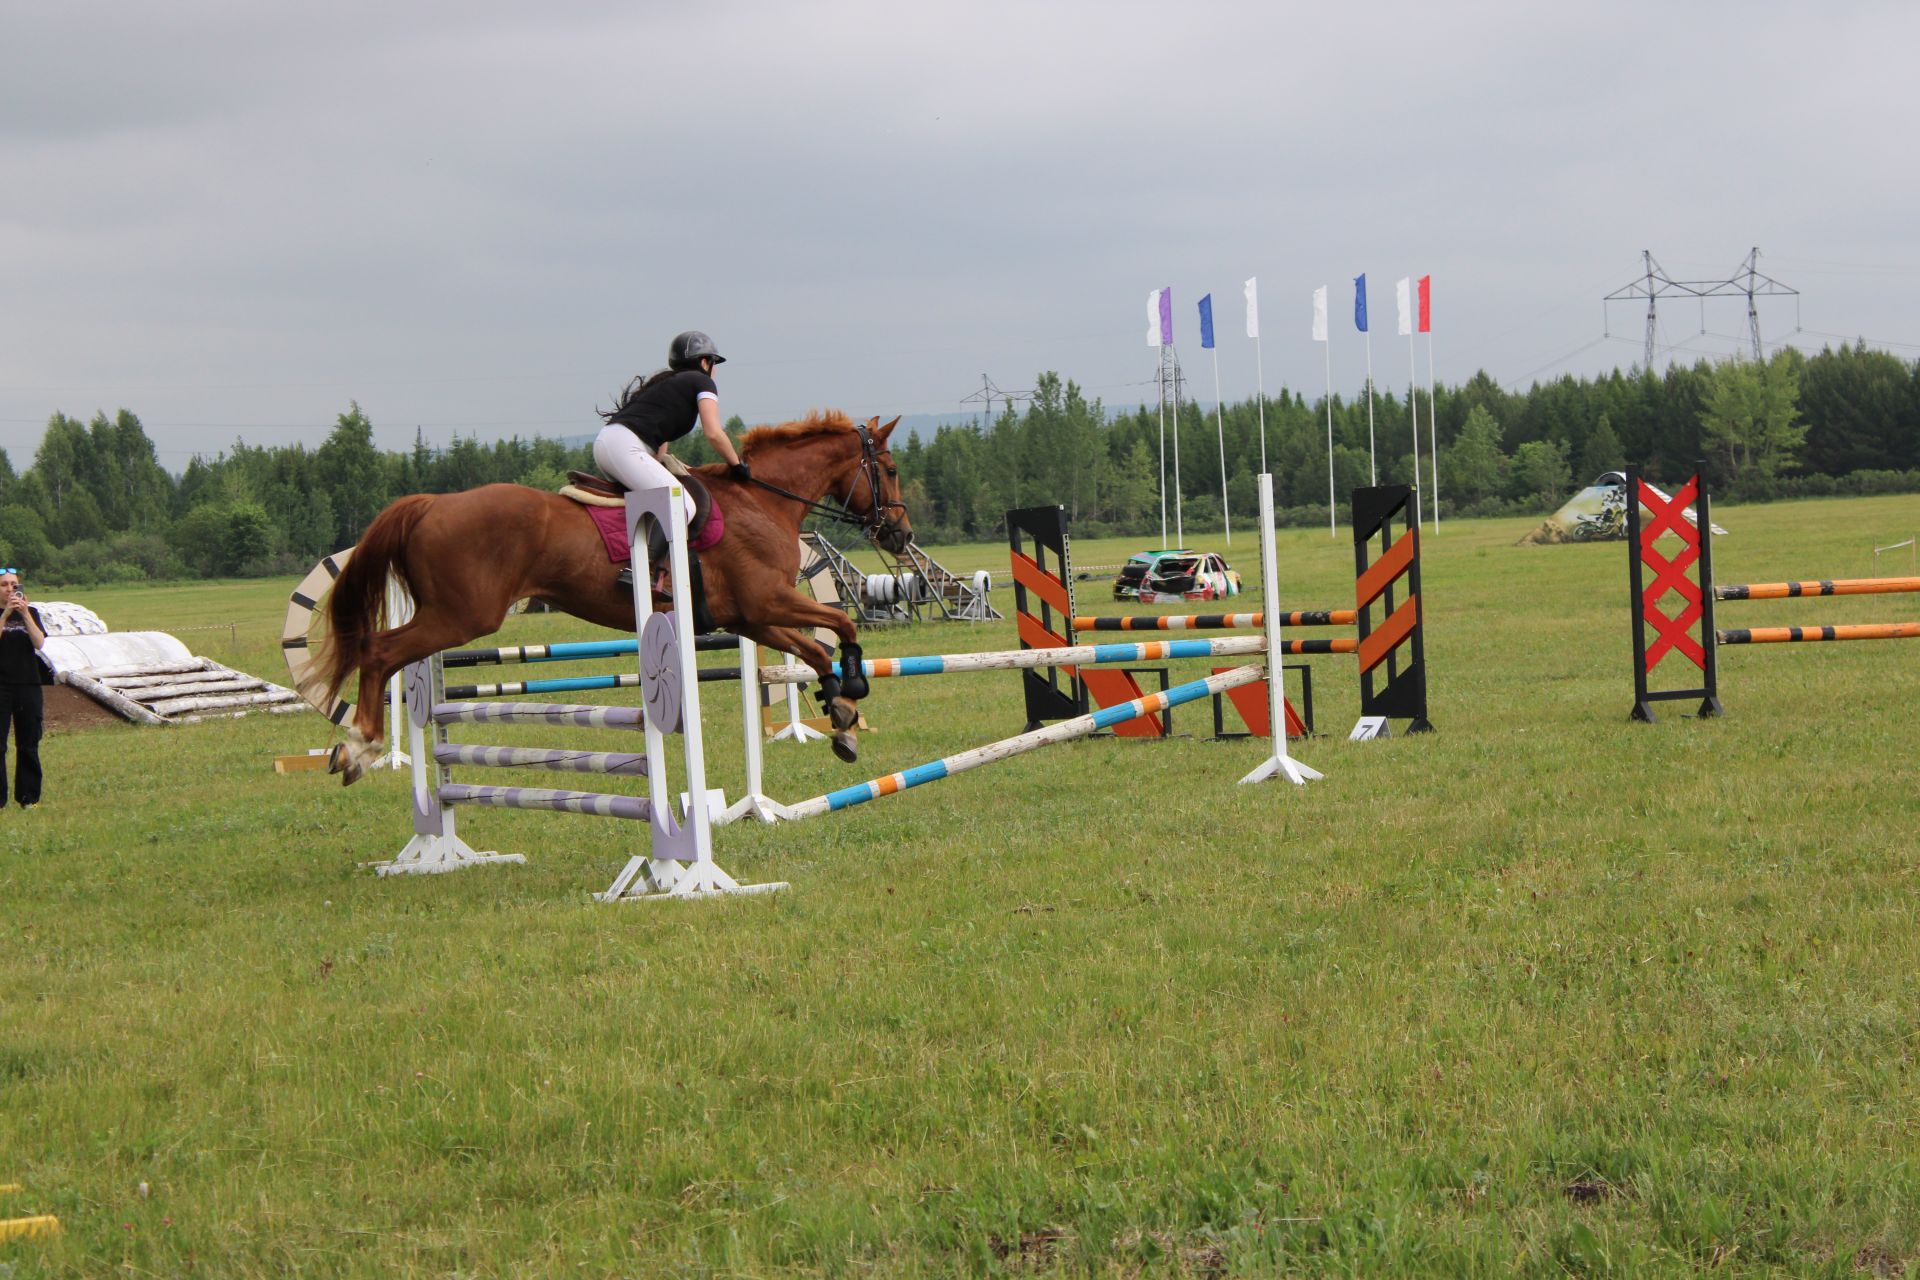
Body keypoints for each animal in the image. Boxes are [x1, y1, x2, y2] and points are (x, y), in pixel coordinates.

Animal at [311, 416, 910, 786]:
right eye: (890, 469)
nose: (900, 534)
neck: (762, 501)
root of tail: (430, 504)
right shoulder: (767, 603)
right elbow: (840, 626)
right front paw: (852, 693)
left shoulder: (753, 617)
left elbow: (814, 650)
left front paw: (841, 716)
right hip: (461, 617)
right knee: (379, 652)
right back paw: (359, 747)